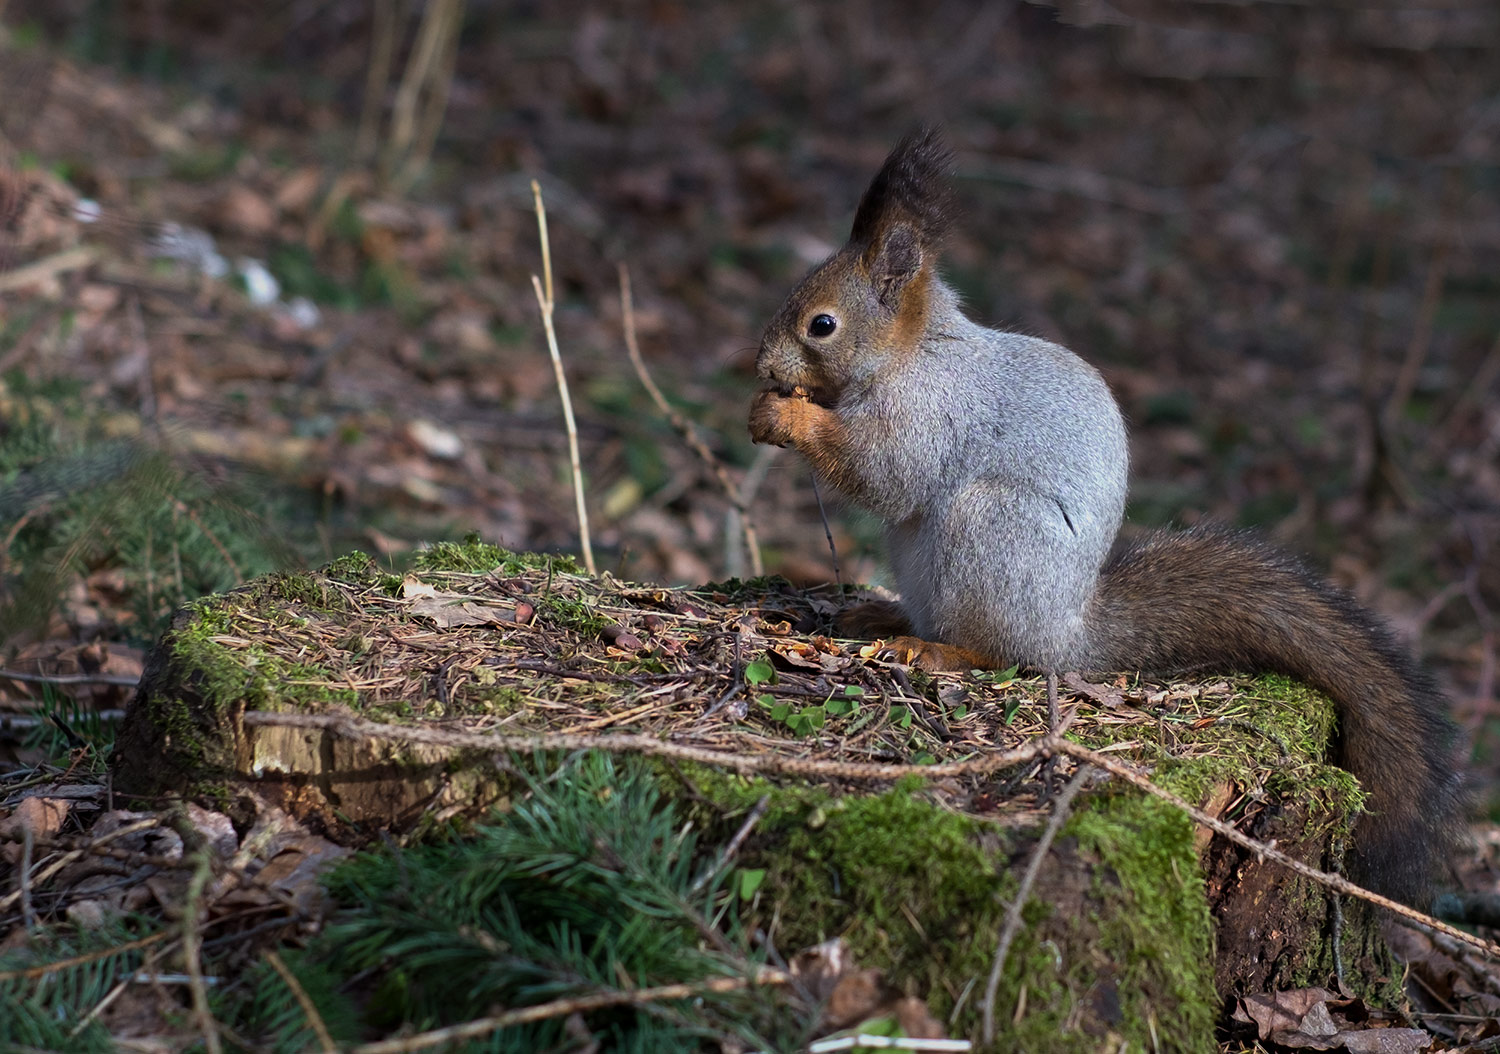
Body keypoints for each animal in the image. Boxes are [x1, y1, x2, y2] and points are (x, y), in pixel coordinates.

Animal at [750, 125, 1464, 905]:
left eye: (822, 325)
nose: (762, 366)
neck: (912, 354)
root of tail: (1071, 633)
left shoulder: (931, 415)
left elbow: (887, 473)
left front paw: (786, 415)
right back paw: (883, 618)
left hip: (994, 532)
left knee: (1005, 652)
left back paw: (936, 650)